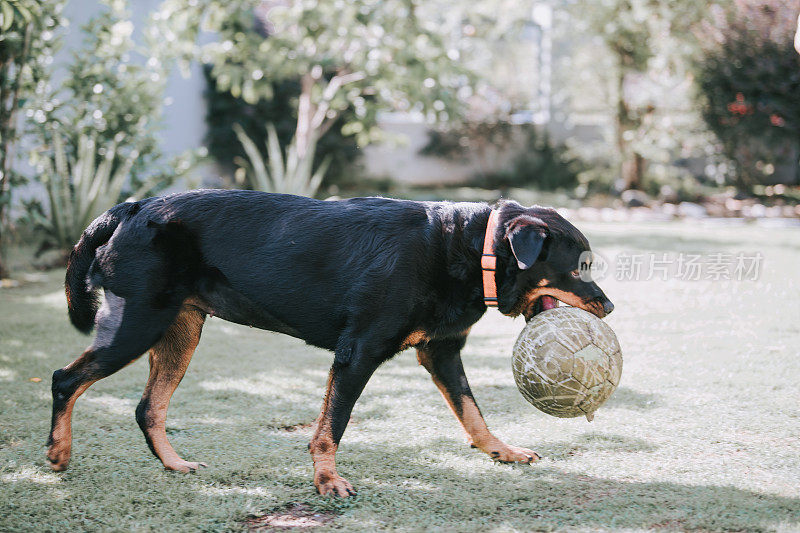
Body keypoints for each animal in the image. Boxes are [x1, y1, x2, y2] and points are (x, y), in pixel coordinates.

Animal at [48, 190, 612, 494]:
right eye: (580, 266)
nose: (608, 307)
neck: (472, 248)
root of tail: (131, 208)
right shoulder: (357, 354)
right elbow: (330, 427)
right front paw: (326, 482)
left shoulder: (442, 352)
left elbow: (474, 414)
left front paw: (502, 452)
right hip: (137, 324)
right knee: (65, 379)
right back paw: (57, 453)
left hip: (180, 331)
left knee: (148, 407)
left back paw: (174, 464)